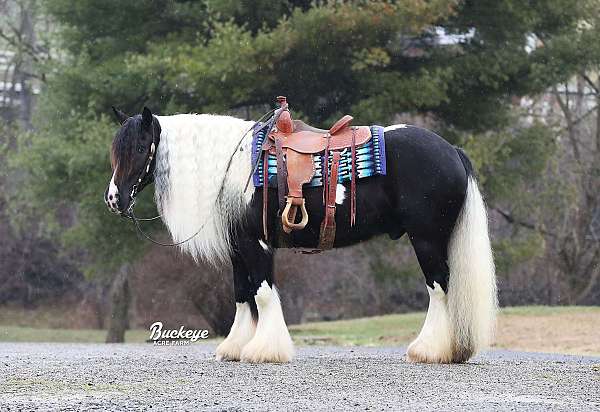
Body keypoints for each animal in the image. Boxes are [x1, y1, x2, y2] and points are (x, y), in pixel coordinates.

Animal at [104, 105, 496, 364]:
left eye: (138, 148)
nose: (114, 199)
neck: (235, 169)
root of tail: (452, 150)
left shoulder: (257, 244)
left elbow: (262, 294)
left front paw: (265, 350)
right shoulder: (238, 247)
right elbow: (241, 294)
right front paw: (235, 347)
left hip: (427, 239)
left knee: (439, 288)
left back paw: (429, 350)